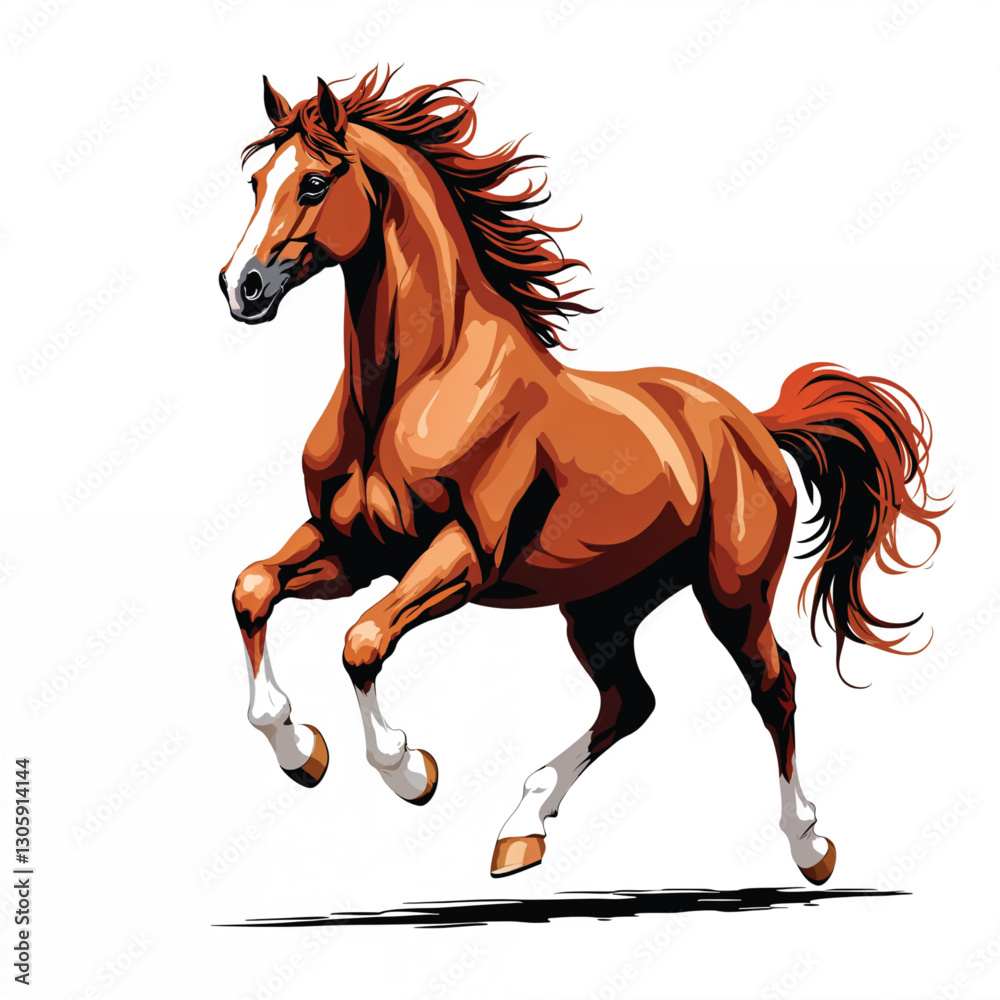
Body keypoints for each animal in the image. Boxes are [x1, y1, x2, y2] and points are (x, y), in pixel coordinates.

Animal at [219, 68, 944, 884]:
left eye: (314, 182)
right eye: (254, 181)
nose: (241, 286)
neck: (414, 386)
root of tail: (753, 422)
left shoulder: (464, 555)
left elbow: (363, 641)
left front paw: (410, 771)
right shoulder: (351, 550)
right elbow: (252, 588)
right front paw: (300, 753)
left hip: (733, 594)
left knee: (774, 687)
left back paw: (810, 846)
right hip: (603, 607)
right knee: (631, 701)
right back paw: (521, 830)